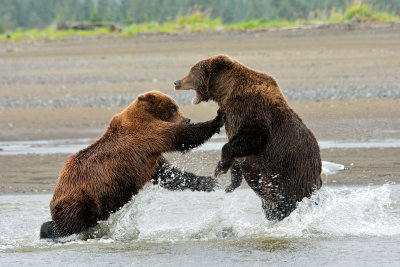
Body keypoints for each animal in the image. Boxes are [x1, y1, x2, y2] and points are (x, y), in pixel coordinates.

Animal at [40, 91, 225, 240]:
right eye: (173, 108)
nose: (187, 119)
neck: (146, 114)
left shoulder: (150, 159)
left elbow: (169, 174)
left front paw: (209, 182)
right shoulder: (148, 133)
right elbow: (183, 136)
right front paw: (217, 118)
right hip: (82, 197)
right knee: (71, 223)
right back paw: (47, 231)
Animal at [175, 55, 322, 221]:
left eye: (192, 72)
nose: (176, 82)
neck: (226, 92)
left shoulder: (253, 111)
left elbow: (251, 137)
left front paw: (219, 168)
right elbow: (238, 152)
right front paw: (230, 184)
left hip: (295, 174)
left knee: (287, 201)